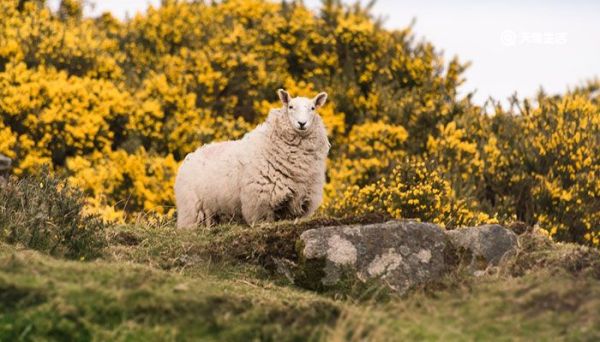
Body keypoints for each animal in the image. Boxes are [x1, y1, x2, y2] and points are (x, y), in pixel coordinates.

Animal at [176, 89, 330, 228]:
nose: (302, 123)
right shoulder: (260, 200)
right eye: (290, 107)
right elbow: (264, 219)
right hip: (191, 210)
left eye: (313, 108)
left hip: (213, 208)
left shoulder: (301, 199)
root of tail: (191, 155)